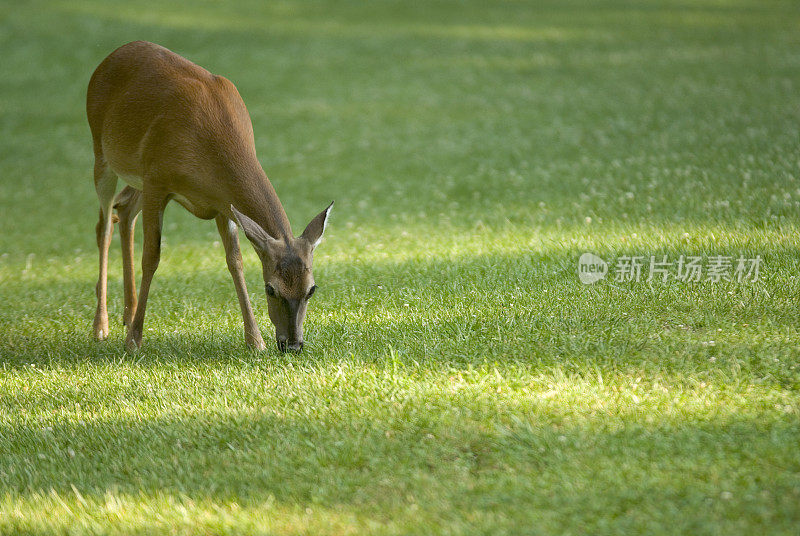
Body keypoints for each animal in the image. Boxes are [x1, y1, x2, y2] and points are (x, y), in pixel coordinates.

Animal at [83, 40, 328, 352]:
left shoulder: (224, 203)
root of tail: (111, 55)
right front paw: (134, 341)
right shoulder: (158, 182)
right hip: (102, 153)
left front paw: (255, 340)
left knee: (124, 209)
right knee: (103, 225)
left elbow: (235, 261)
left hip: (136, 174)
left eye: (311, 289)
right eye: (270, 288)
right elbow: (152, 257)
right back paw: (101, 326)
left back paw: (128, 313)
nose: (293, 345)